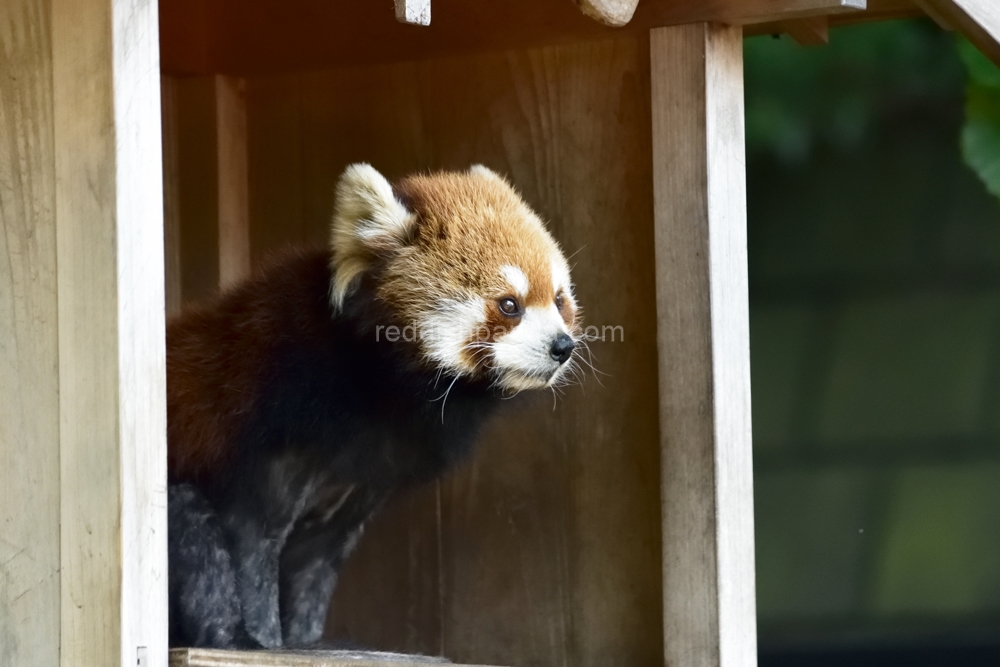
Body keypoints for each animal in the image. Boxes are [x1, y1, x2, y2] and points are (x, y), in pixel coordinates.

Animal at [168, 164, 584, 648]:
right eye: (510, 305)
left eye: (559, 299)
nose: (563, 346)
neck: (381, 392)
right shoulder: (271, 420)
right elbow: (251, 543)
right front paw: (266, 642)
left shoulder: (370, 473)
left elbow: (314, 562)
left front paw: (306, 640)